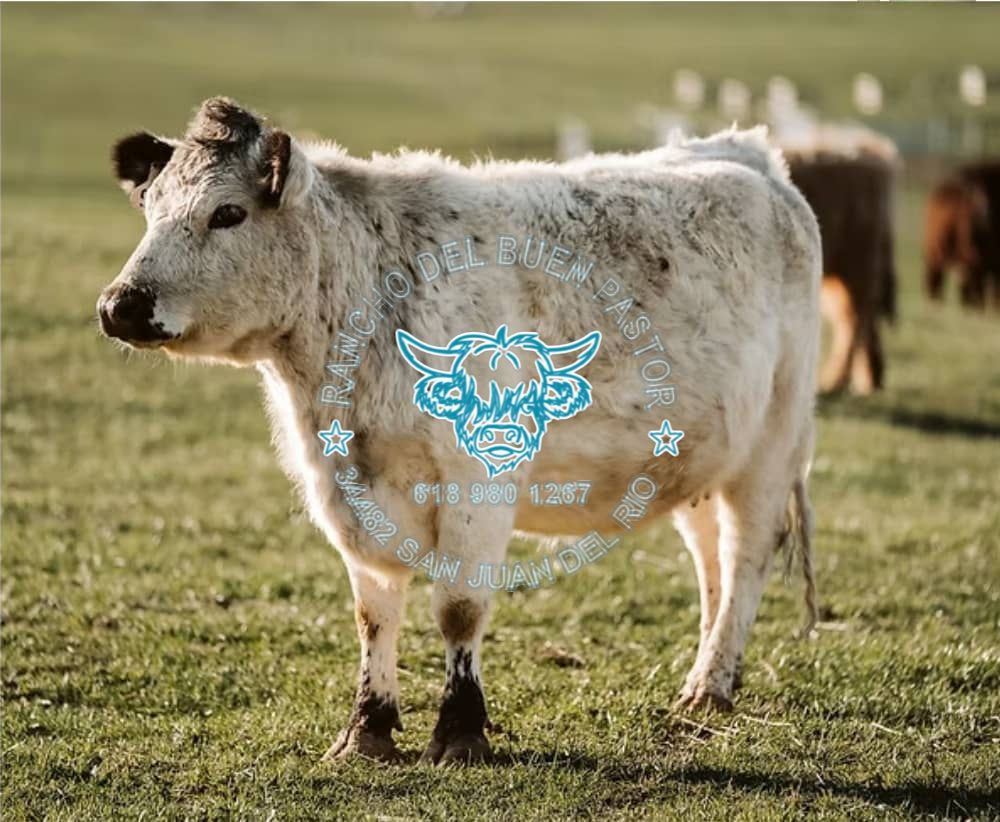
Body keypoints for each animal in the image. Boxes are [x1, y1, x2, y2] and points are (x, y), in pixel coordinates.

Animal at [97, 98, 821, 765]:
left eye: (228, 213)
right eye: (150, 209)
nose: (119, 305)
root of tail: (750, 152)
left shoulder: (477, 485)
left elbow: (460, 607)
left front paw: (460, 730)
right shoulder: (347, 488)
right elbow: (373, 612)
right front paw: (367, 729)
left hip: (771, 449)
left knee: (744, 557)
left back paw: (712, 683)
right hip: (697, 458)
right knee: (710, 565)